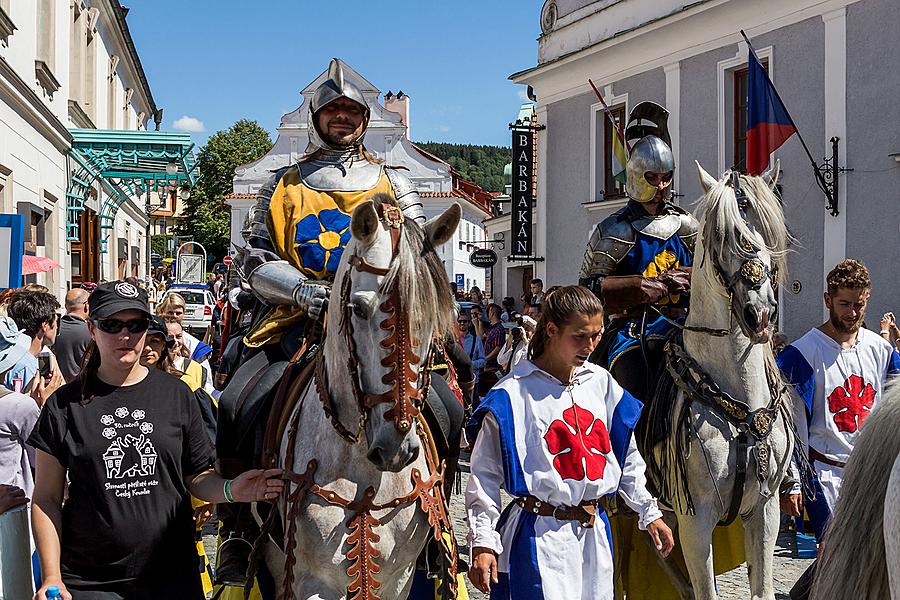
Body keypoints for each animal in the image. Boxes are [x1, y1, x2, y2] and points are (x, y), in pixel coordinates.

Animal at [258, 198, 458, 600]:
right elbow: (258, 257)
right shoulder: (312, 583)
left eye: (431, 313)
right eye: (360, 308)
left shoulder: (398, 580)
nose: (395, 447)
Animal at [652, 161, 792, 600]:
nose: (760, 315)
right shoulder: (695, 518)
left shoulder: (765, 509)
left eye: (768, 233)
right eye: (722, 236)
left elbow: (762, 588)